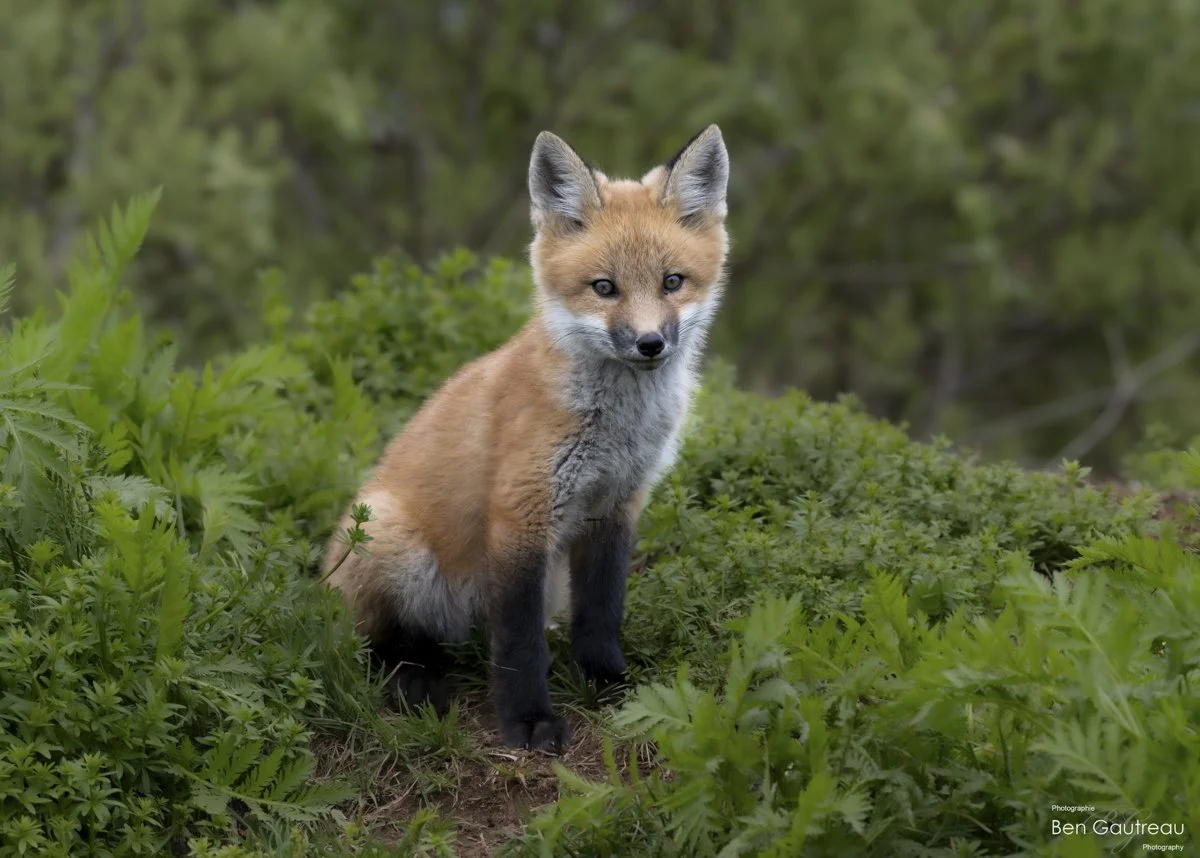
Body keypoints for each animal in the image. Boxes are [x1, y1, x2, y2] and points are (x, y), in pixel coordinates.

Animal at [321, 124, 730, 754]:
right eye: (604, 288)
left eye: (672, 282)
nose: (650, 344)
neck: (616, 428)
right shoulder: (521, 513)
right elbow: (519, 643)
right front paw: (528, 721)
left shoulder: (616, 507)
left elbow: (601, 612)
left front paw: (606, 682)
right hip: (389, 538)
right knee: (375, 646)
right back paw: (414, 681)